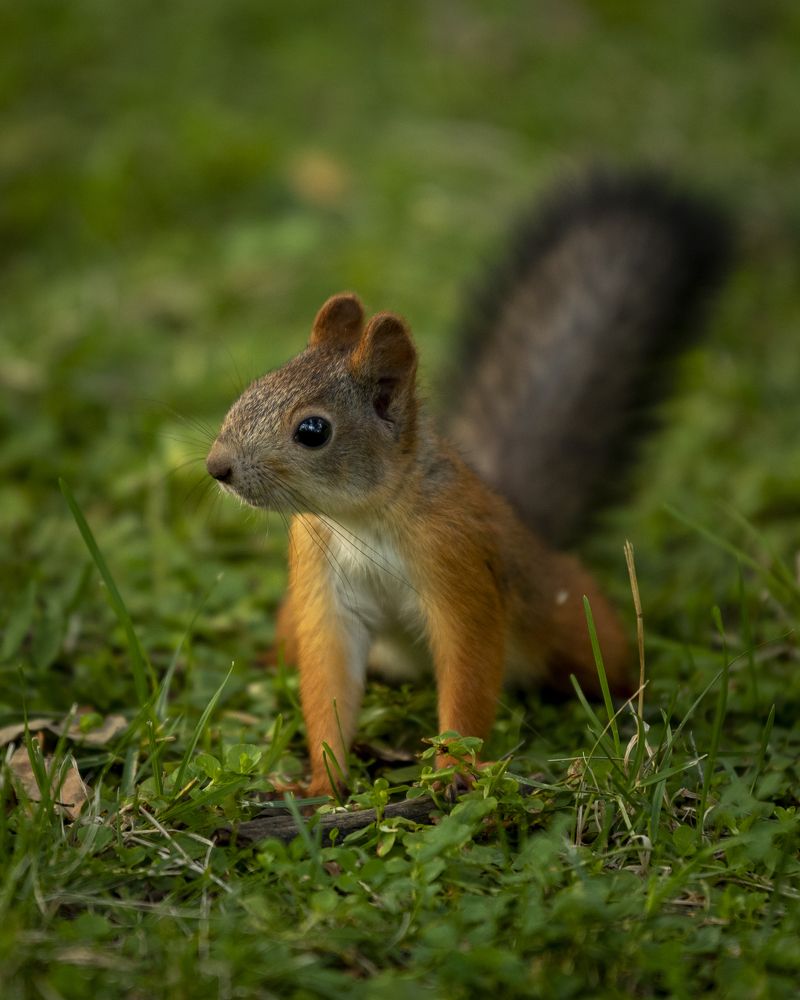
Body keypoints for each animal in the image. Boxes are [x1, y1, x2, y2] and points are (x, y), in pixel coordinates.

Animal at [205, 171, 729, 798]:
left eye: (313, 430)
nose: (216, 466)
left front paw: (453, 769)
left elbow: (469, 670)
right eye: (252, 389)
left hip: (571, 620)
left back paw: (631, 699)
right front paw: (322, 783)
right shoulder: (322, 583)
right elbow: (328, 678)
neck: (364, 518)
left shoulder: (458, 564)